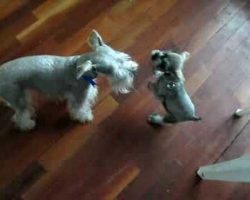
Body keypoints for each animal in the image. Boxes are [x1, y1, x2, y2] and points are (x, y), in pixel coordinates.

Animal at [0, 29, 138, 131]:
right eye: (113, 71)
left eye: (123, 58)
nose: (133, 71)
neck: (78, 66)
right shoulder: (79, 97)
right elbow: (79, 109)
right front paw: (85, 117)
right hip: (19, 99)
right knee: (20, 115)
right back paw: (28, 125)